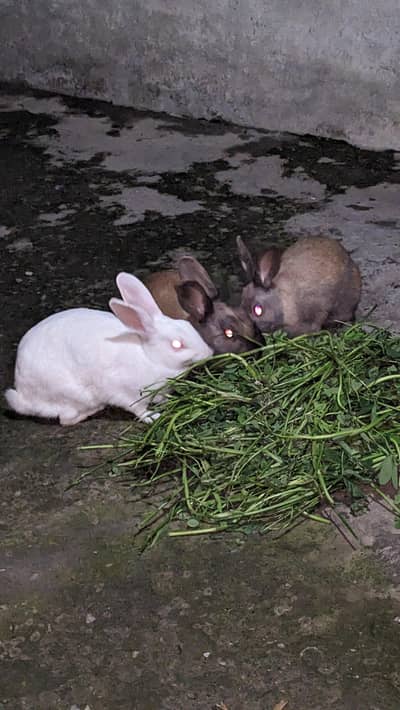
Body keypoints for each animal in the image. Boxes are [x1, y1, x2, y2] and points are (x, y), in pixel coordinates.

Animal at [5, 272, 212, 426]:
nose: (209, 353)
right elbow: (138, 409)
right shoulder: (126, 393)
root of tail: (22, 394)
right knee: (66, 419)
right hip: (73, 395)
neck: (149, 356)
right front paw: (153, 417)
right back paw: (93, 410)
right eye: (177, 345)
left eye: (188, 326)